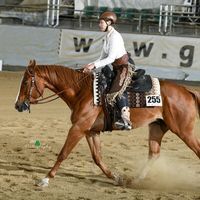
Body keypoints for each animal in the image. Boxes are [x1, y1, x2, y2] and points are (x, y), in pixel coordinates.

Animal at [14, 60, 199, 187]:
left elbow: (63, 153)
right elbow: (97, 157)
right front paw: (117, 178)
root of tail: (187, 91)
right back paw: (134, 181)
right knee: (154, 153)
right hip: (157, 127)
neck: (82, 91)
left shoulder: (78, 128)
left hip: (184, 131)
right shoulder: (90, 131)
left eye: (25, 82)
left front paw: (45, 179)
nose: (17, 105)